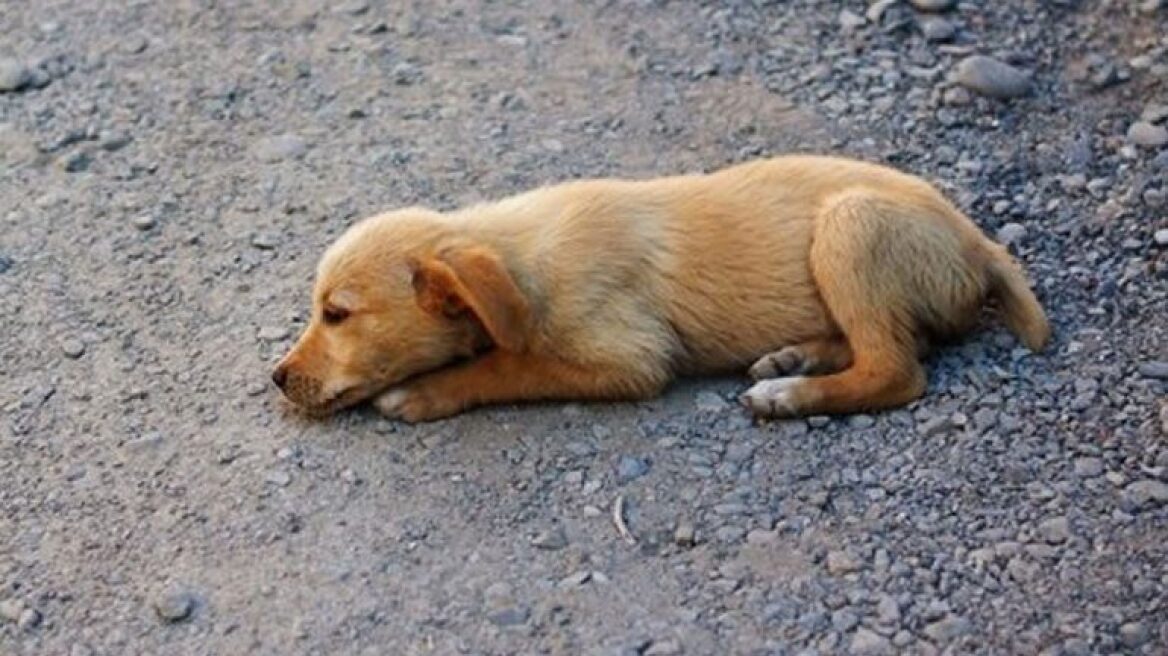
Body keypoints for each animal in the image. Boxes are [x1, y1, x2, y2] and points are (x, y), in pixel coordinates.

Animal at [270, 154, 1051, 420]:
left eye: (336, 314)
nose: (276, 379)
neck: (520, 259)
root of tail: (978, 241)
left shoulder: (629, 359)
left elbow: (507, 365)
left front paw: (428, 392)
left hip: (850, 227)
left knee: (896, 368)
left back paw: (789, 394)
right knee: (888, 342)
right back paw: (794, 357)